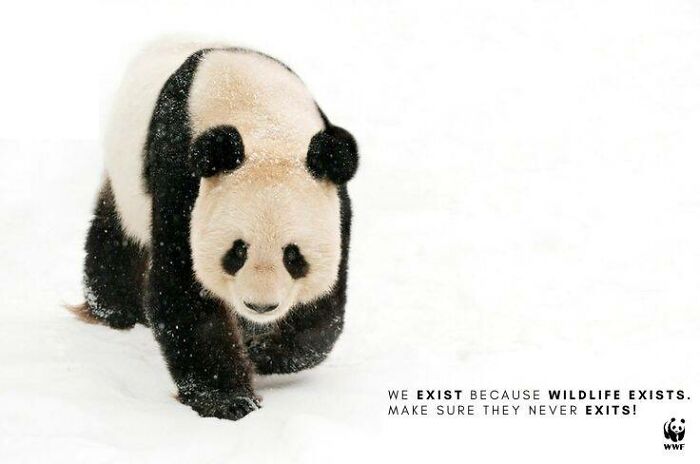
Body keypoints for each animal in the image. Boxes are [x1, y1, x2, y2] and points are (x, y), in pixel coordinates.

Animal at [76, 40, 358, 420]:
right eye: (237, 250)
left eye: (293, 256)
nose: (260, 306)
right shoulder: (182, 178)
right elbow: (186, 289)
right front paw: (228, 399)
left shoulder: (335, 202)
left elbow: (322, 305)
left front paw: (264, 352)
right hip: (125, 182)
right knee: (117, 235)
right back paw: (116, 309)